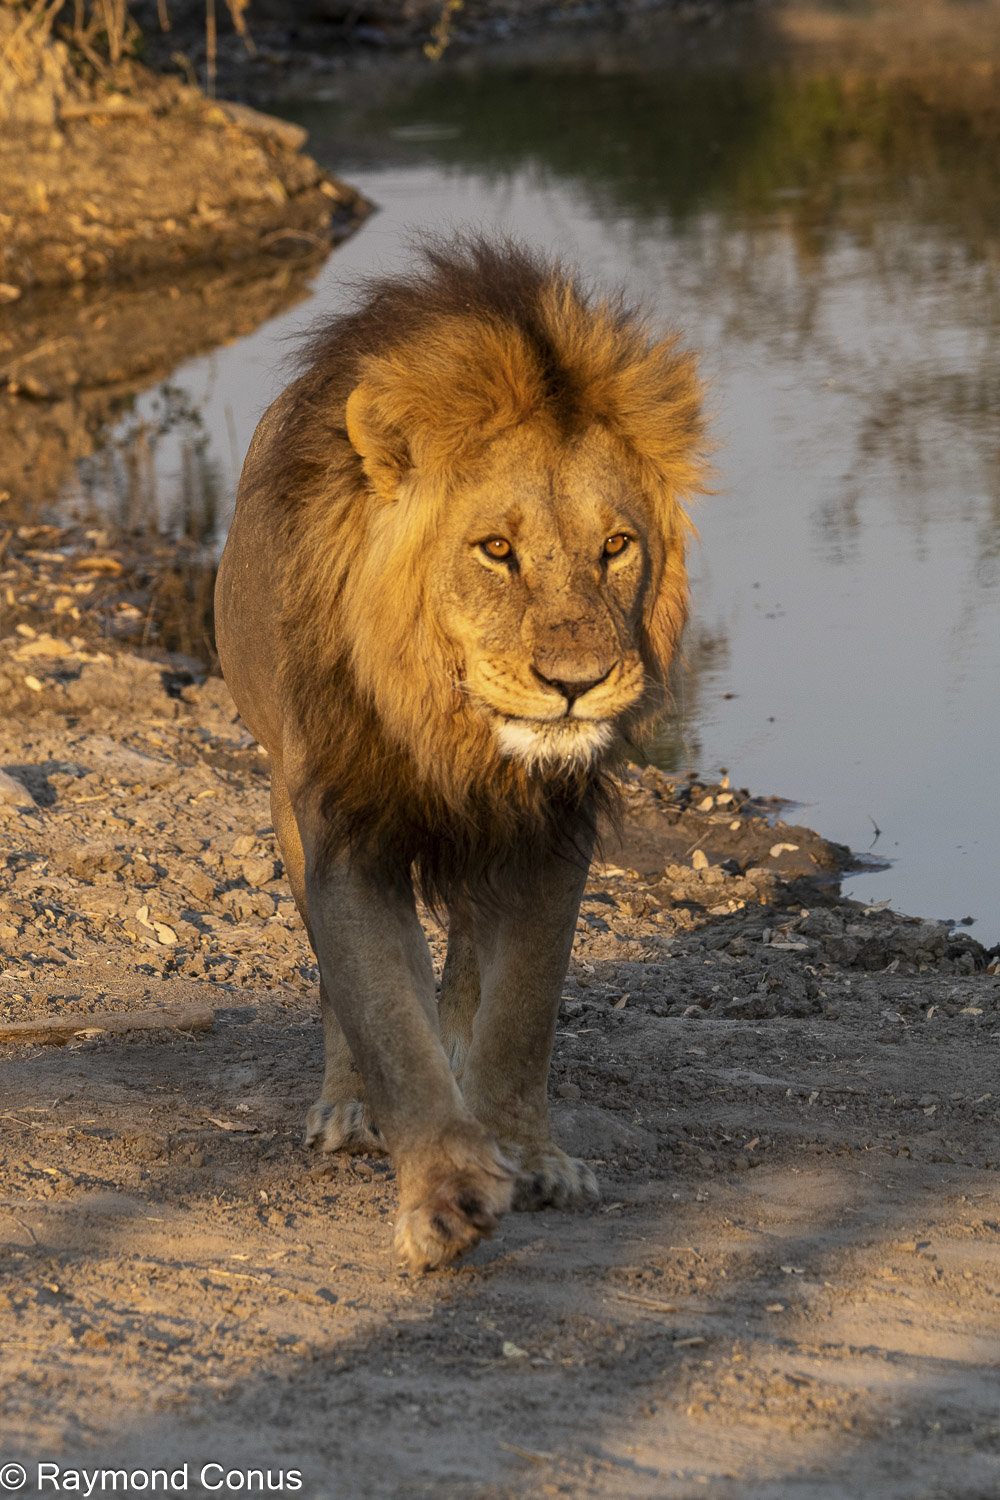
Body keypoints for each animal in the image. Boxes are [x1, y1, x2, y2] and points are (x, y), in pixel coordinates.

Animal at [214, 236, 706, 1272]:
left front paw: (530, 1155)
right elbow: (384, 1015)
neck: (452, 730)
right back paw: (348, 1108)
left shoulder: (551, 831)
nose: (577, 682)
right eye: (495, 550)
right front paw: (444, 1191)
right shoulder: (344, 831)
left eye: (616, 546)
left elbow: (521, 1008)